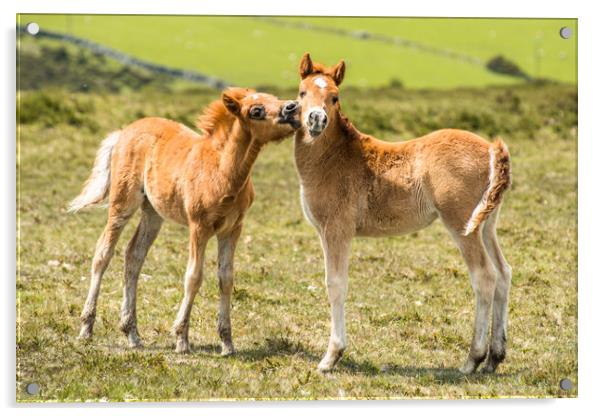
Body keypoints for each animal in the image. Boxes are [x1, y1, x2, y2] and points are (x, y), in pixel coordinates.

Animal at [69, 88, 298, 354]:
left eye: (273, 97)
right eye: (256, 110)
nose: (292, 107)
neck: (222, 171)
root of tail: (124, 131)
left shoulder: (232, 229)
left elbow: (226, 278)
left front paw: (227, 343)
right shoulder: (199, 227)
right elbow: (194, 277)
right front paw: (181, 339)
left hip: (153, 213)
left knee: (133, 255)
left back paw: (132, 333)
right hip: (123, 204)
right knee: (103, 253)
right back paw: (86, 328)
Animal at [292, 53, 508, 376]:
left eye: (334, 97)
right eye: (302, 93)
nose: (316, 120)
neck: (333, 159)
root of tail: (491, 148)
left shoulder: (337, 229)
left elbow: (336, 284)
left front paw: (331, 357)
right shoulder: (324, 231)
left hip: (461, 224)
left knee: (484, 277)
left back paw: (473, 359)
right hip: (486, 223)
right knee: (504, 273)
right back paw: (495, 357)